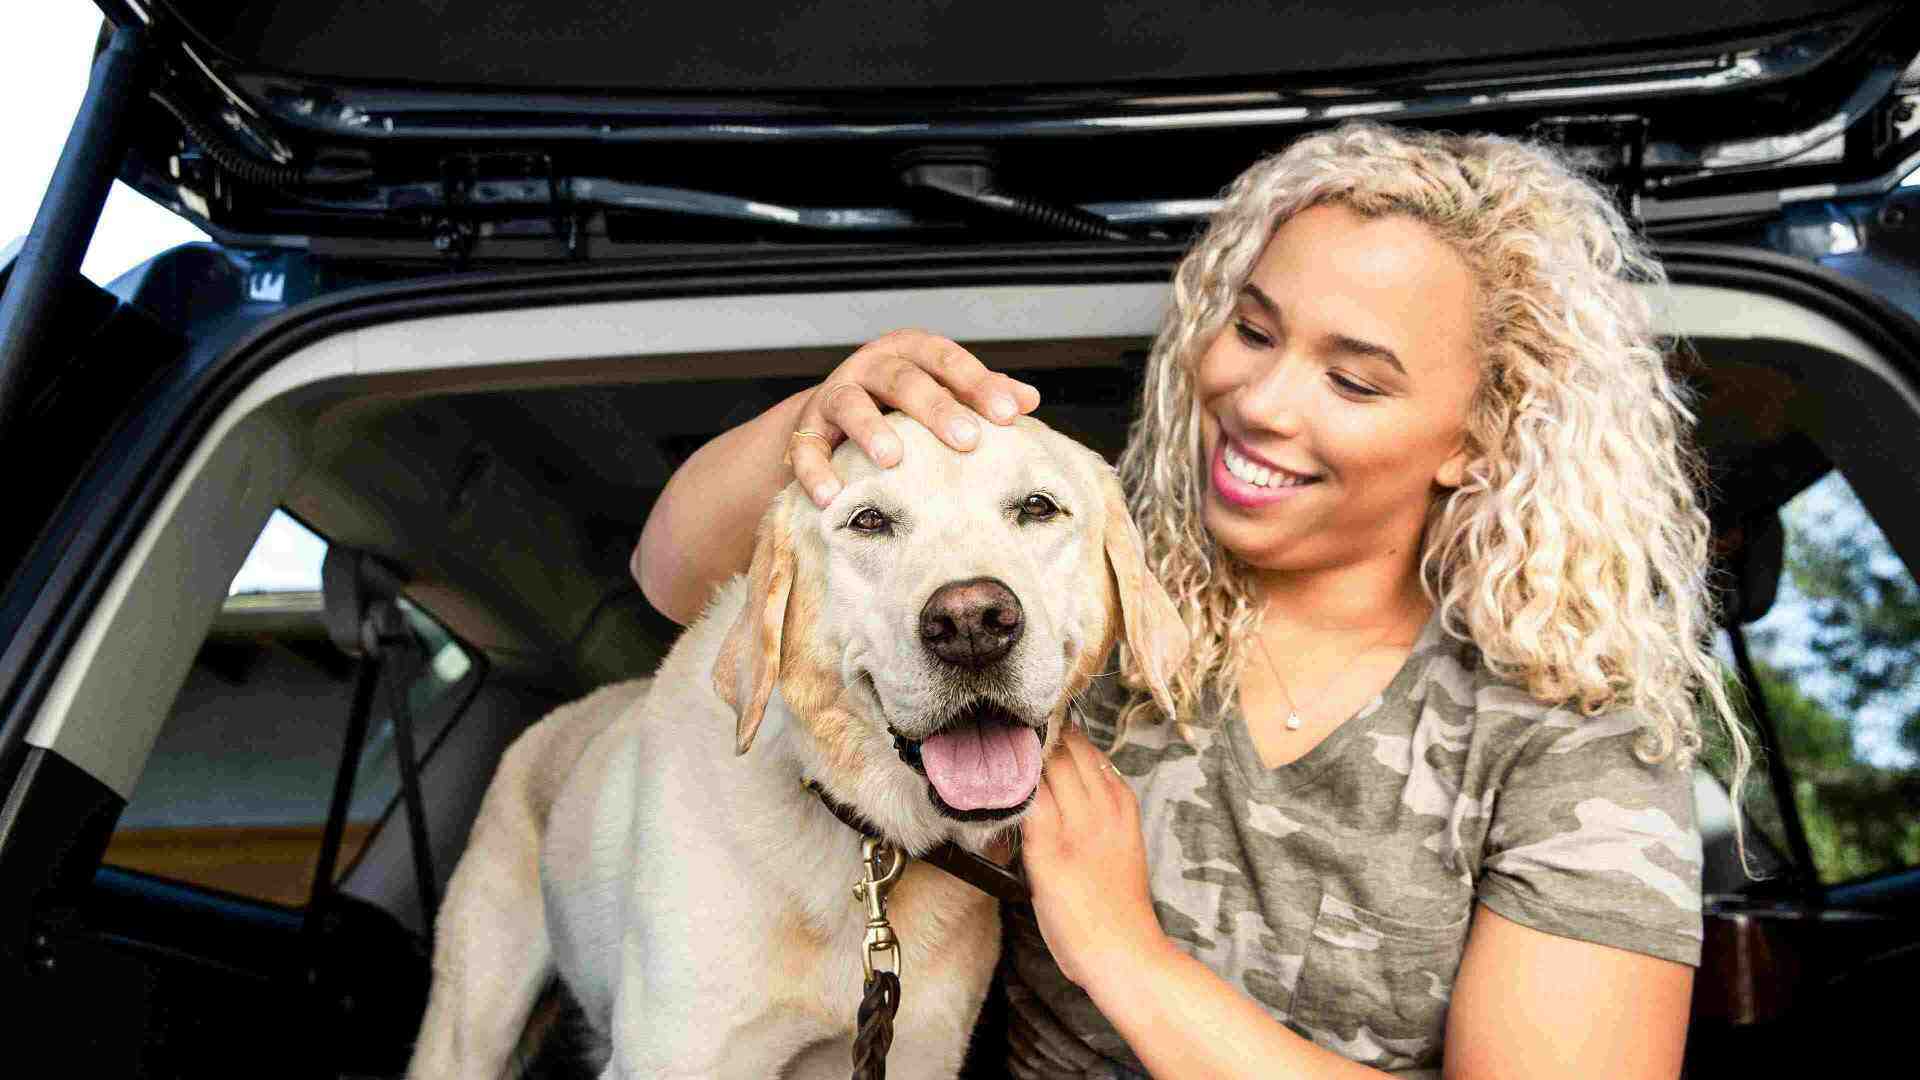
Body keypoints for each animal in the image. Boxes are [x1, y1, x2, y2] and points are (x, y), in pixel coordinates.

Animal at [407, 413, 1182, 1076]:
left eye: (1038, 507)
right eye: (869, 521)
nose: (972, 624)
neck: (868, 839)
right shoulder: (677, 1057)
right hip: (472, 1022)